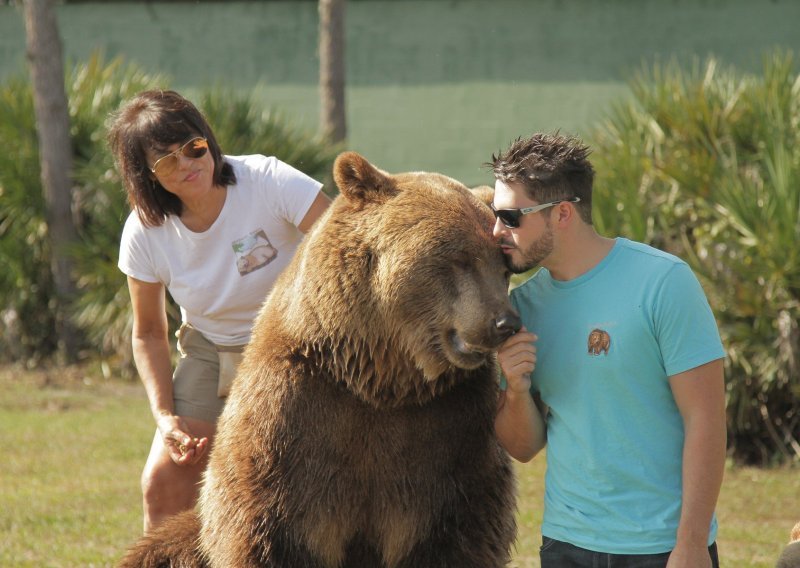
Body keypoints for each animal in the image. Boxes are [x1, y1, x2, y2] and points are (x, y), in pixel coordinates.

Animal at [119, 152, 520, 568]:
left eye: (504, 266)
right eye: (459, 258)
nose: (504, 323)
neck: (381, 380)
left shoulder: (451, 431)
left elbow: (456, 530)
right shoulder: (293, 420)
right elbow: (270, 530)